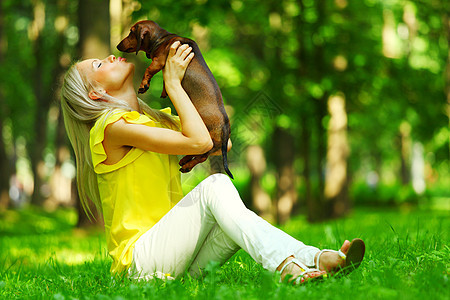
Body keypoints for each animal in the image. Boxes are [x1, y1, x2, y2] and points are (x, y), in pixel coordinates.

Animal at [117, 20, 232, 178]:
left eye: (131, 32)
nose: (118, 46)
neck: (162, 39)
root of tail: (225, 125)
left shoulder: (158, 61)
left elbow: (149, 70)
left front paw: (143, 85)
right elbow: (165, 80)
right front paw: (164, 90)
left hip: (208, 137)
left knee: (202, 155)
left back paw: (187, 165)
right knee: (202, 155)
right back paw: (185, 161)